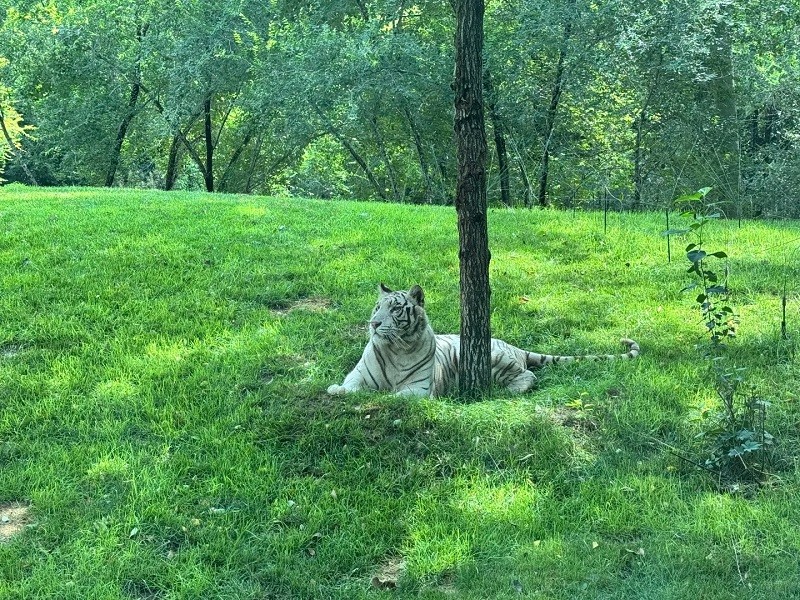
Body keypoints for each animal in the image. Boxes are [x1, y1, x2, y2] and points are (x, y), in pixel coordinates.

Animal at [327, 284, 640, 398]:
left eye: (394, 309)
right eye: (377, 308)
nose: (374, 324)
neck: (396, 348)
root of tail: (512, 345)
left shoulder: (419, 389)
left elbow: (394, 396)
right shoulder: (358, 376)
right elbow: (349, 387)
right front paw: (336, 390)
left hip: (492, 359)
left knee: (528, 375)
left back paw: (510, 390)